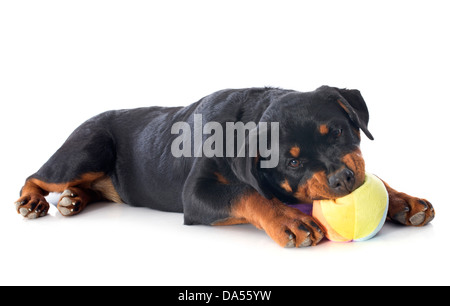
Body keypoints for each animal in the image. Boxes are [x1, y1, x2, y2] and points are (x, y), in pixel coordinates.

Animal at [14, 85, 436, 246]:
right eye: (293, 161)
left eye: (336, 132)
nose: (342, 179)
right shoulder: (197, 194)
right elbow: (247, 194)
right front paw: (289, 220)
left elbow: (378, 179)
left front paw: (404, 201)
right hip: (89, 147)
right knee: (37, 175)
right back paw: (34, 201)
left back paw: (73, 200)